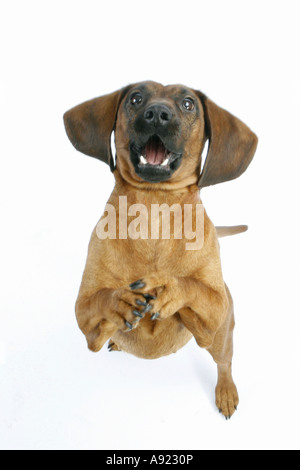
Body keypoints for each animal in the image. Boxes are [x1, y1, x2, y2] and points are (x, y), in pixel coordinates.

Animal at [63, 81, 258, 418]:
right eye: (136, 98)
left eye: (188, 103)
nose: (157, 114)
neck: (154, 208)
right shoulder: (86, 321)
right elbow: (99, 300)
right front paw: (118, 301)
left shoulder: (215, 308)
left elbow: (193, 287)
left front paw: (169, 288)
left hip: (222, 334)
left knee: (224, 361)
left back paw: (226, 390)